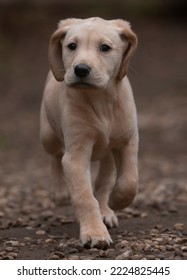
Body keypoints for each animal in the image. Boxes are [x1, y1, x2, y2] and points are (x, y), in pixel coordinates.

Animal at [40, 17, 138, 249]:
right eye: (71, 46)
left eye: (105, 48)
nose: (81, 69)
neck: (101, 99)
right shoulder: (76, 155)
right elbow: (84, 195)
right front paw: (95, 233)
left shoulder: (128, 141)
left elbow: (129, 181)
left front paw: (116, 201)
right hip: (47, 135)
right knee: (55, 156)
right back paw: (59, 191)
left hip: (108, 153)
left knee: (103, 182)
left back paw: (106, 209)